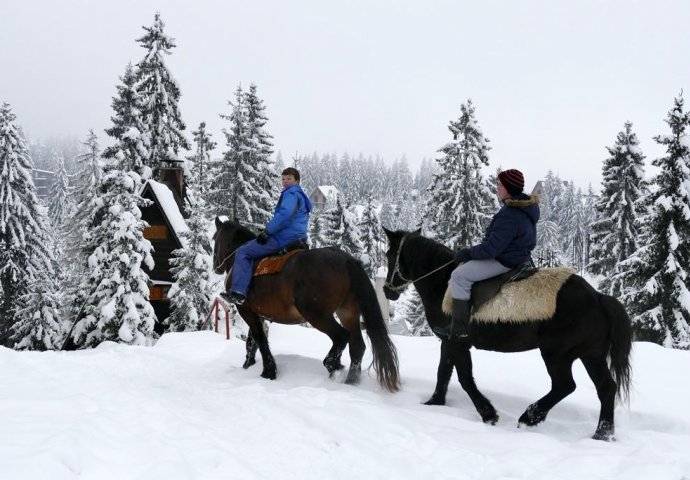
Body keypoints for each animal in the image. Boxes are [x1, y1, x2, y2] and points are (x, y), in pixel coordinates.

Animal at [212, 219, 400, 392]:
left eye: (215, 237)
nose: (216, 267)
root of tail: (345, 259)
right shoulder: (258, 313)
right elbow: (252, 342)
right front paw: (249, 366)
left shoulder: (245, 309)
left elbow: (259, 339)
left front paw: (268, 372)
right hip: (348, 313)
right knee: (357, 346)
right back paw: (350, 381)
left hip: (317, 315)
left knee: (341, 336)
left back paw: (333, 365)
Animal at [378, 229, 632, 438]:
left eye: (389, 255)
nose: (387, 291)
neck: (443, 283)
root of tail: (598, 297)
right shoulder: (447, 342)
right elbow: (443, 372)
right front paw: (435, 402)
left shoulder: (457, 343)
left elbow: (465, 379)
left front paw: (488, 413)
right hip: (591, 355)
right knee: (606, 388)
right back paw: (603, 434)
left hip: (557, 354)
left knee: (565, 386)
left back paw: (530, 416)